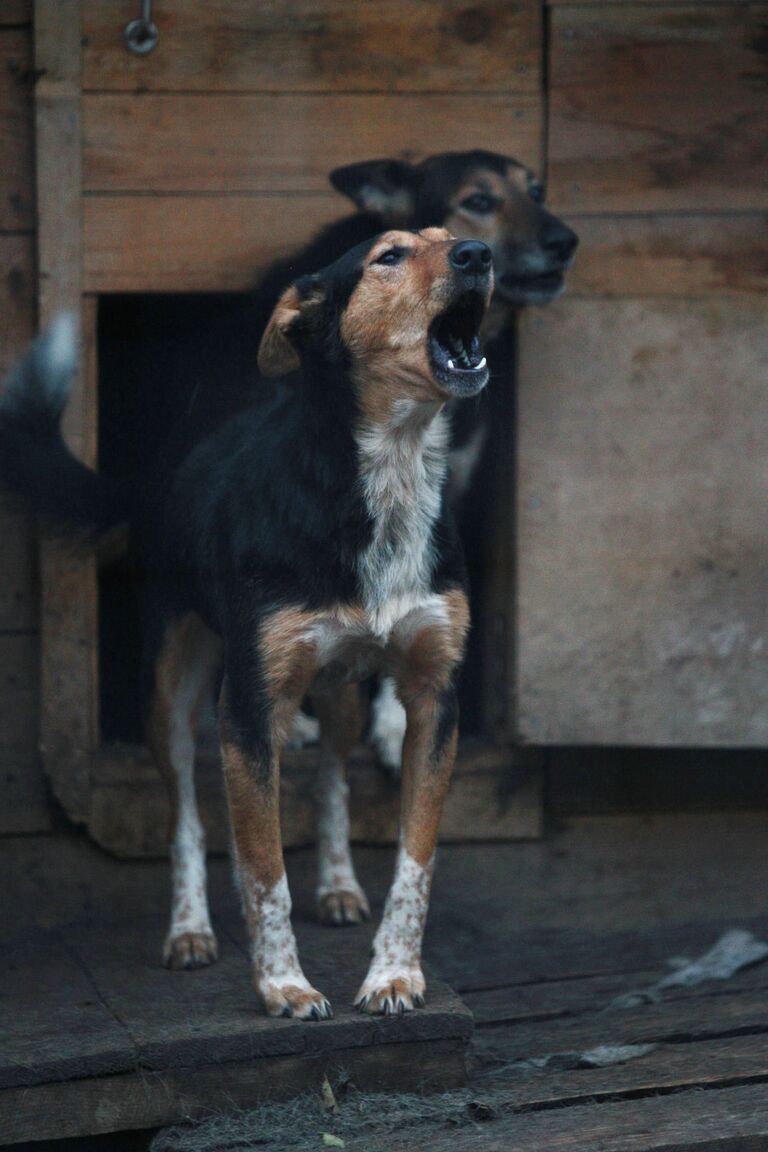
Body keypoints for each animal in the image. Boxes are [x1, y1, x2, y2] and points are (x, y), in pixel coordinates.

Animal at [0, 224, 492, 1018]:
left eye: (453, 237)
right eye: (388, 256)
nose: (479, 254)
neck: (387, 473)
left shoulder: (432, 699)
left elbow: (415, 859)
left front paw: (393, 973)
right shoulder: (250, 709)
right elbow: (262, 870)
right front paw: (284, 986)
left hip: (336, 687)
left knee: (330, 776)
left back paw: (338, 884)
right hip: (173, 687)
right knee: (186, 815)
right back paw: (190, 929)